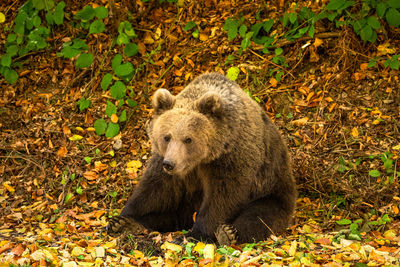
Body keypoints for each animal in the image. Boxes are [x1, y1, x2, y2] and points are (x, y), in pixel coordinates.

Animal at [106, 73, 296, 245]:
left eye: (188, 139)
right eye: (167, 137)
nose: (170, 164)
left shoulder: (232, 158)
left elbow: (223, 197)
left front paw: (196, 234)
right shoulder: (166, 163)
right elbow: (153, 188)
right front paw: (121, 219)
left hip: (272, 186)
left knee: (260, 215)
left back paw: (229, 233)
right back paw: (132, 225)